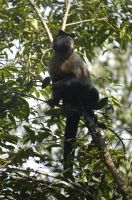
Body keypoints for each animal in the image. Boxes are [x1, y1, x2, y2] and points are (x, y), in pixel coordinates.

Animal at [47, 30, 99, 178]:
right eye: (64, 37)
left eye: (70, 39)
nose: (68, 41)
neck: (62, 57)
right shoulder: (52, 62)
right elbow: (55, 81)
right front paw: (54, 99)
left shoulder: (76, 61)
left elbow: (77, 80)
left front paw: (59, 84)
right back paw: (64, 106)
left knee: (92, 92)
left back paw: (90, 114)